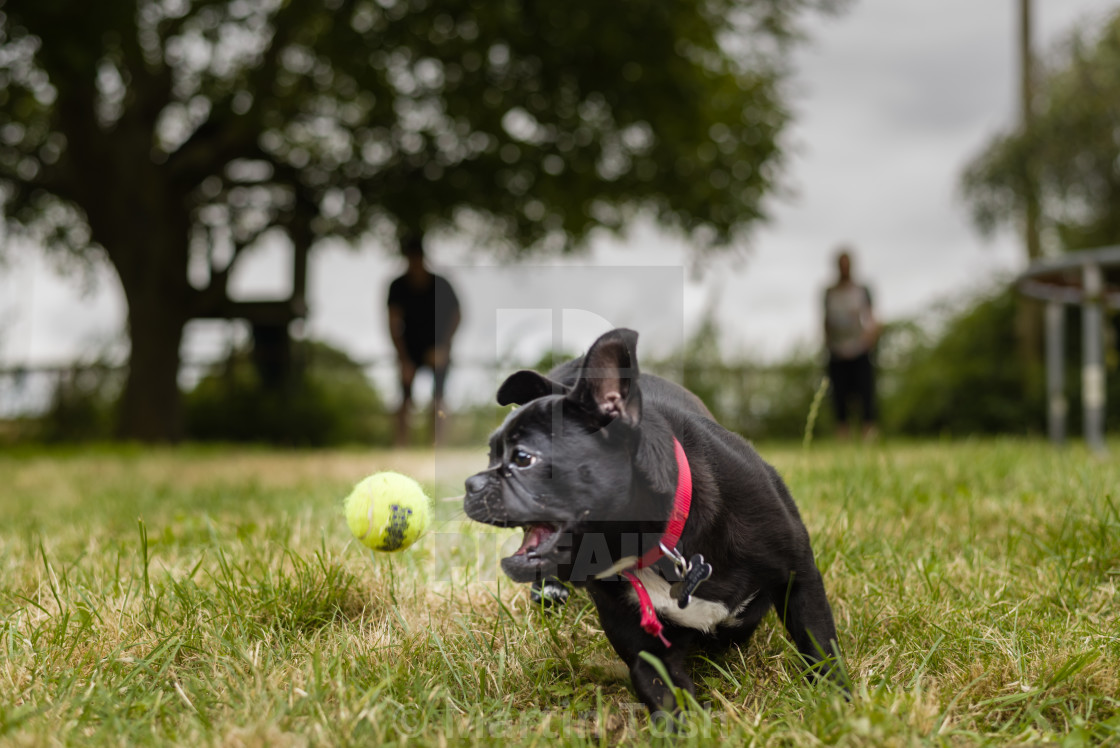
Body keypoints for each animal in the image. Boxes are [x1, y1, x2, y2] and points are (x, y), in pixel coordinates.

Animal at [463, 329, 842, 716]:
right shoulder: (650, 658)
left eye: (524, 458)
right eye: (491, 455)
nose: (471, 484)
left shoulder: (800, 576)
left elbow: (818, 644)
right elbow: (671, 700)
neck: (661, 548)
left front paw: (837, 702)